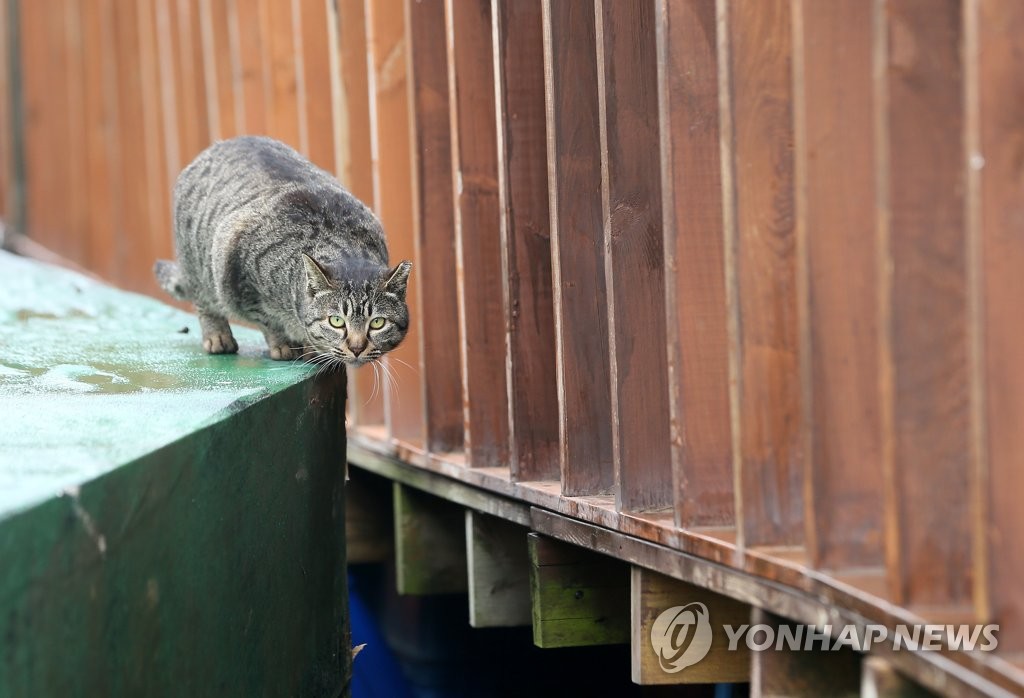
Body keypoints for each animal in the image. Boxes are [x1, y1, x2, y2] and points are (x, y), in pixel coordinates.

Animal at [153, 133, 409, 366]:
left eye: (377, 323)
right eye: (336, 321)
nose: (357, 348)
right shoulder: (240, 277)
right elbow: (268, 321)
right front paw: (284, 344)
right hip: (201, 267)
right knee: (204, 302)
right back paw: (217, 336)